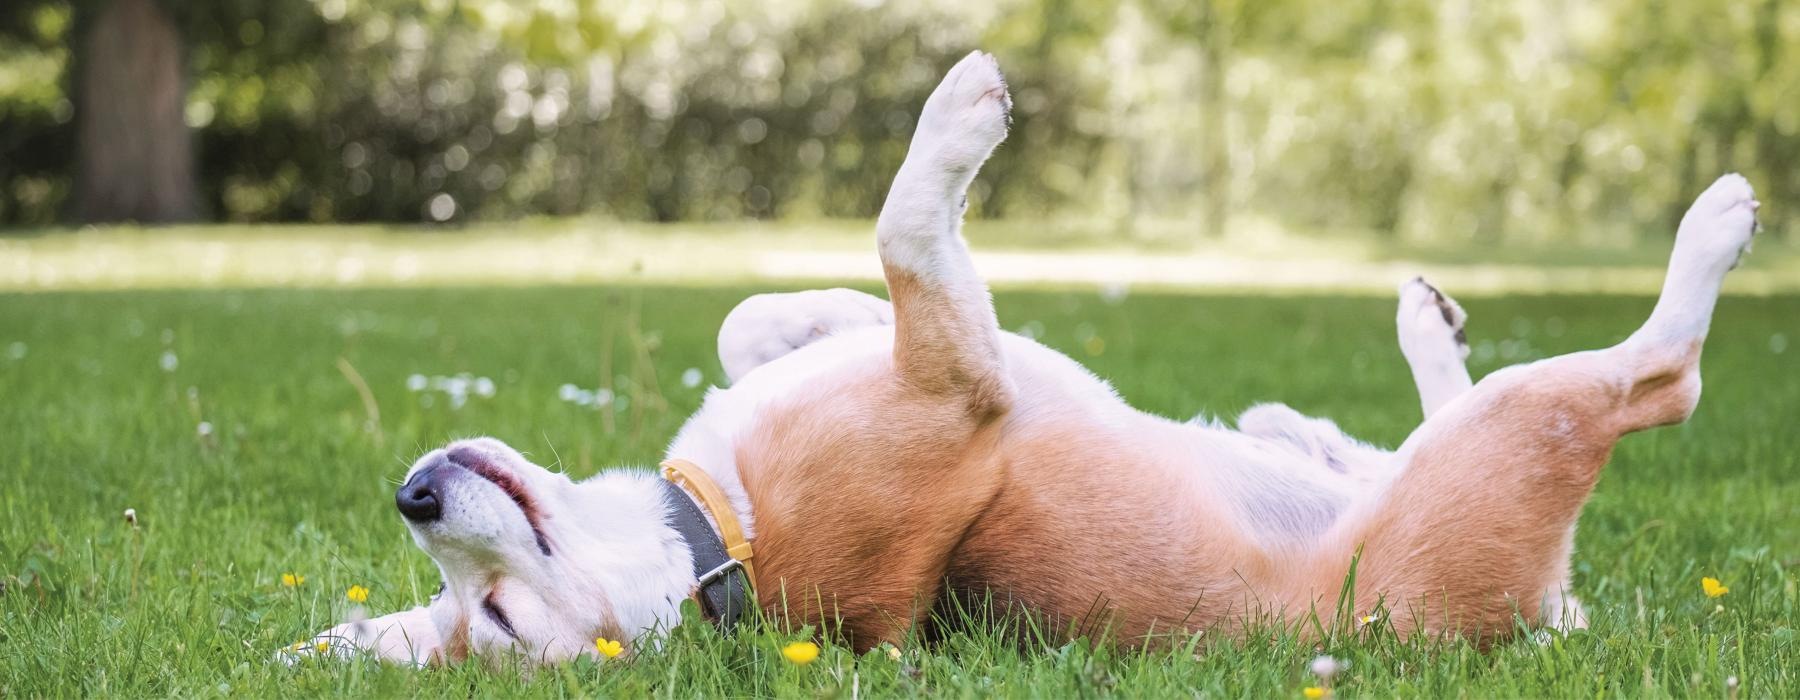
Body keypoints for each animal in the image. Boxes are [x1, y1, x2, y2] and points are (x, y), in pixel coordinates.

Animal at [288, 51, 1764, 662]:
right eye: (494, 621)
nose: (415, 492)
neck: (715, 537)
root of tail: (1536, 618)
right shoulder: (957, 380)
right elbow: (906, 227)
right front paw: (958, 120)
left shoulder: (913, 355)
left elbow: (758, 316)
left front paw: (802, 308)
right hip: (1523, 432)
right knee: (1658, 377)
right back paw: (1714, 227)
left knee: (1392, 421)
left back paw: (1361, 374)